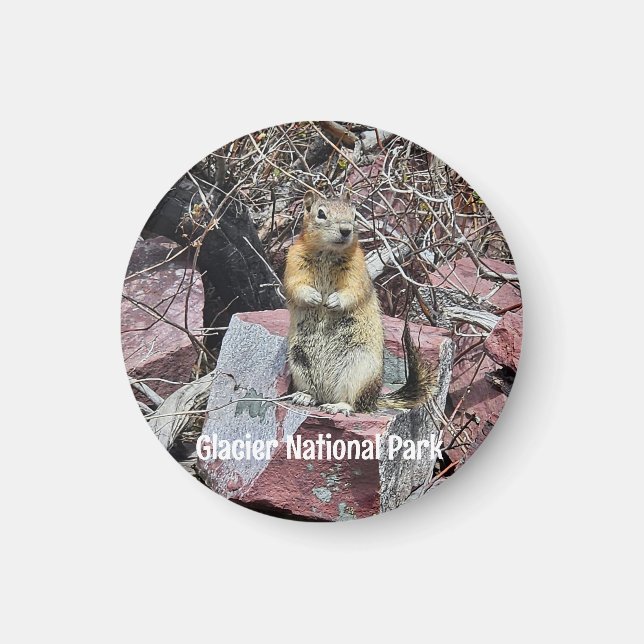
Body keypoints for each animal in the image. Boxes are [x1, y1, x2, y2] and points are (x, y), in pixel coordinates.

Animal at [283, 190, 437, 416]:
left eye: (354, 215)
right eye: (321, 214)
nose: (346, 230)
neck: (328, 253)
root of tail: (374, 400)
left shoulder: (358, 269)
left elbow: (353, 291)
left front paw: (333, 300)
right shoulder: (293, 261)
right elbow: (295, 287)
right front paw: (314, 298)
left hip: (359, 370)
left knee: (356, 404)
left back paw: (338, 406)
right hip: (298, 361)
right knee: (314, 392)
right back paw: (305, 396)